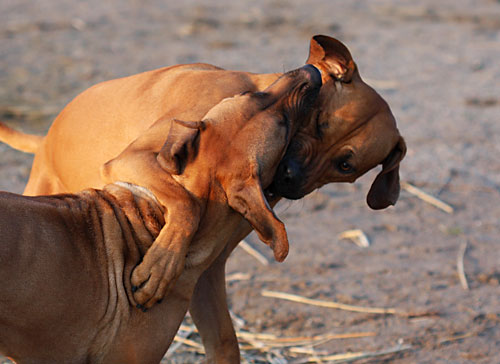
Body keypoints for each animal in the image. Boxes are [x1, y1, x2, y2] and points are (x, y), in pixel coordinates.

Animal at [0, 34, 406, 362]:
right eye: (319, 123)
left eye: (345, 165)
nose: (290, 178)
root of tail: (45, 141)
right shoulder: (132, 158)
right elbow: (187, 204)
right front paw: (159, 266)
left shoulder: (210, 272)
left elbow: (225, 342)